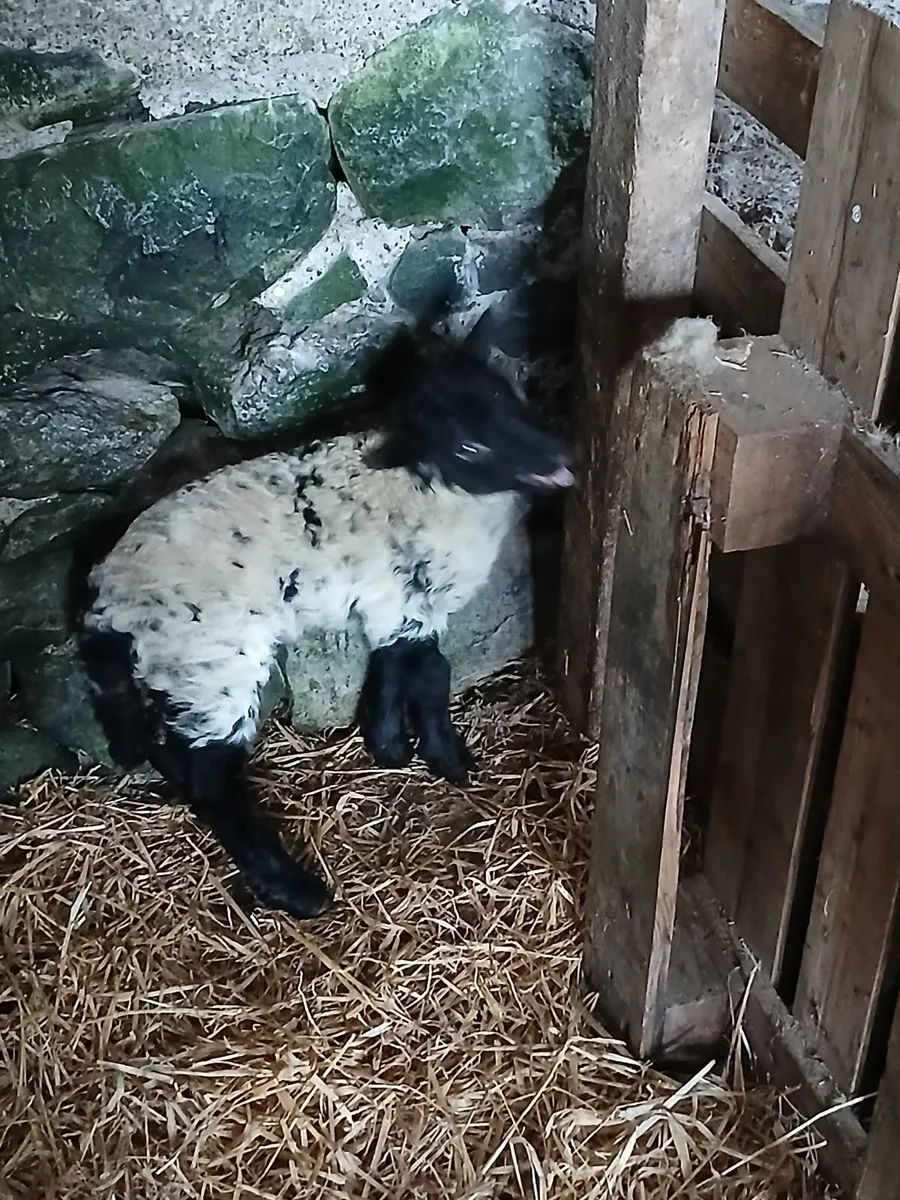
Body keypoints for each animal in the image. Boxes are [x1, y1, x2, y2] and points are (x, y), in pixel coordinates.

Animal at [78, 322, 573, 921]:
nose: (561, 455)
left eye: (508, 396)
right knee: (211, 780)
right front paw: (447, 757)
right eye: (467, 447)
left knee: (166, 749)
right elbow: (432, 673)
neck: (427, 487)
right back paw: (294, 889)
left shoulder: (391, 601)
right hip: (213, 661)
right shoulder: (408, 599)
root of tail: (107, 601)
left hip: (178, 671)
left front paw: (389, 745)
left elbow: (395, 666)